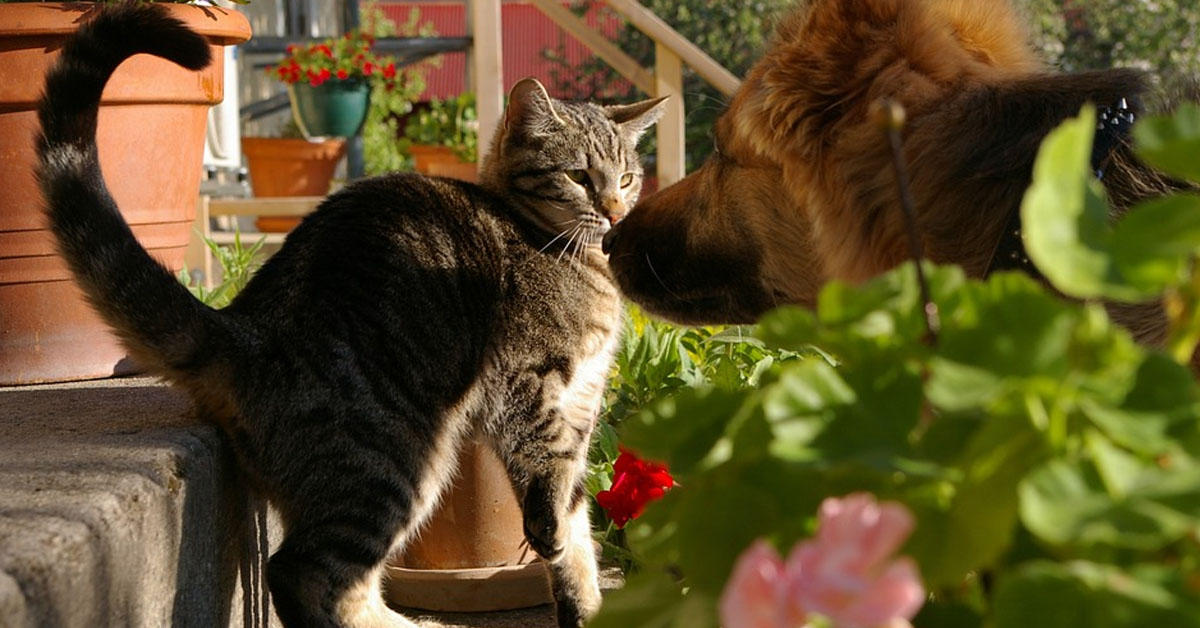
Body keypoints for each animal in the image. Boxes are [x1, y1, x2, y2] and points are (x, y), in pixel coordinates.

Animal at [39, 6, 667, 628]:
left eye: (627, 178)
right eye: (579, 176)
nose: (615, 210)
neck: (564, 252)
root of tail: (244, 326)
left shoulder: (584, 400)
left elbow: (578, 526)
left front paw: (585, 602)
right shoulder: (530, 382)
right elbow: (549, 478)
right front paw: (553, 535)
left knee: (349, 585)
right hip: (393, 460)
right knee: (301, 572)